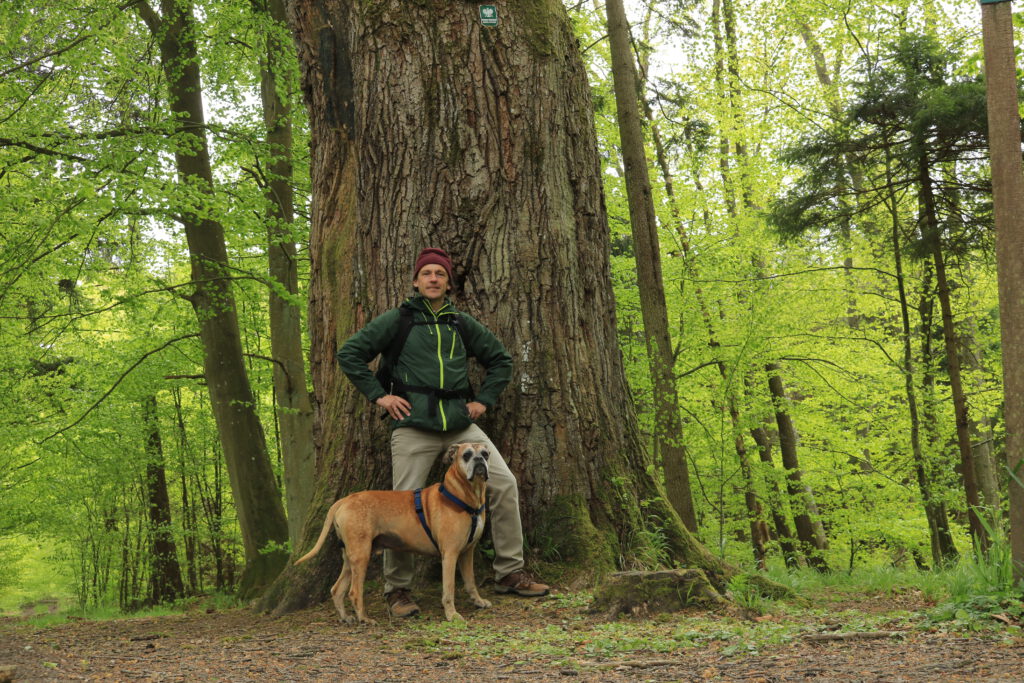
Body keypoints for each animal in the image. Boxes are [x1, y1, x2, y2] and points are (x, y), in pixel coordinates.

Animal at [294, 444, 493, 626]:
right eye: (466, 455)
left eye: (485, 453)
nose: (479, 460)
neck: (465, 495)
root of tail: (344, 499)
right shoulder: (450, 554)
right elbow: (449, 589)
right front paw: (452, 614)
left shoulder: (467, 551)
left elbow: (470, 581)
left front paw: (478, 601)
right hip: (361, 555)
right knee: (354, 592)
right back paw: (364, 618)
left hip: (350, 558)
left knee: (337, 589)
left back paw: (345, 617)